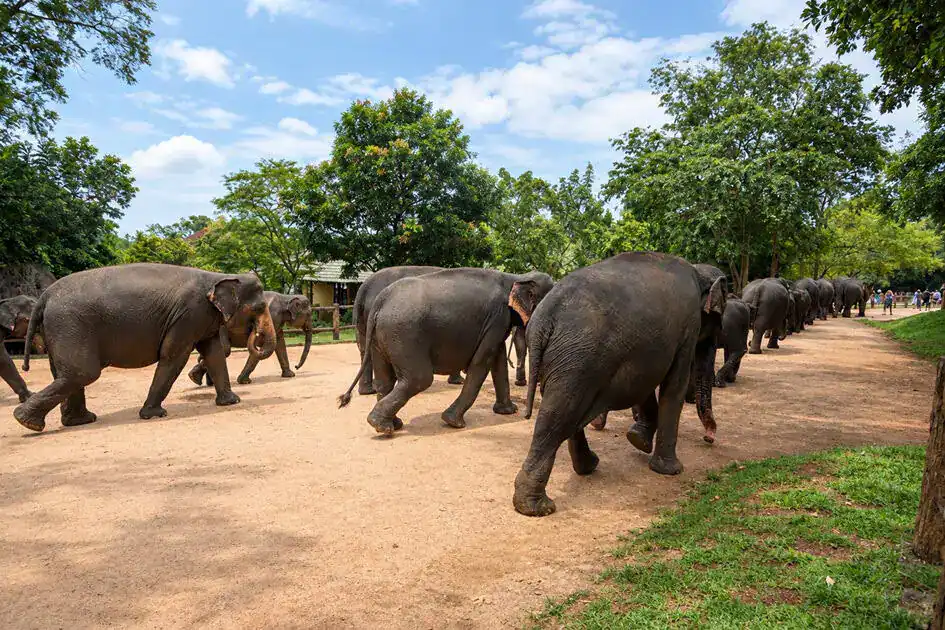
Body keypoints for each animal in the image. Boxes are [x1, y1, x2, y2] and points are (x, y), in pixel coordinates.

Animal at [13, 263, 277, 433]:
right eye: (259, 307)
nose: (256, 334)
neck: (218, 275)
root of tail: (44, 296)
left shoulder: (204, 318)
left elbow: (214, 353)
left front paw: (231, 402)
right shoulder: (189, 315)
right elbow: (174, 355)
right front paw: (153, 415)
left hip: (60, 330)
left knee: (67, 374)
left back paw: (78, 421)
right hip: (69, 325)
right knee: (83, 373)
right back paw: (28, 422)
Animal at [512, 252, 725, 517]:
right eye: (719, 315)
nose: (709, 439)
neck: (698, 271)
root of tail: (543, 320)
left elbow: (644, 384)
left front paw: (638, 441)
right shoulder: (688, 327)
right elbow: (673, 385)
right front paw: (671, 470)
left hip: (563, 361)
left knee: (566, 410)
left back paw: (586, 467)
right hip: (579, 359)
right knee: (559, 414)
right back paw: (537, 507)